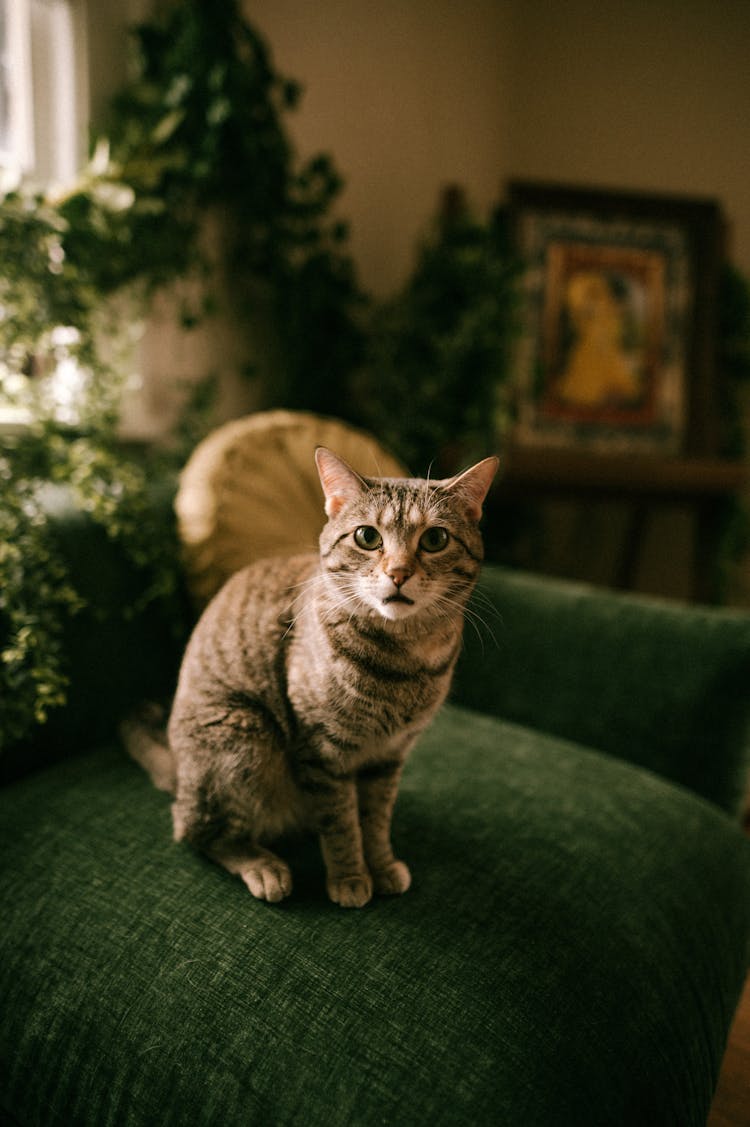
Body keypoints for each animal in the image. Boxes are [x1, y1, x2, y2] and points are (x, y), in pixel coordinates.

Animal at [125, 448, 496, 906]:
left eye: (435, 540)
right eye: (367, 537)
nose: (398, 573)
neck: (403, 660)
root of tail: (180, 772)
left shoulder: (389, 757)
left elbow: (375, 821)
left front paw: (382, 866)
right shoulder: (323, 751)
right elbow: (340, 824)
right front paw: (350, 877)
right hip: (246, 739)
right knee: (196, 830)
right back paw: (263, 867)